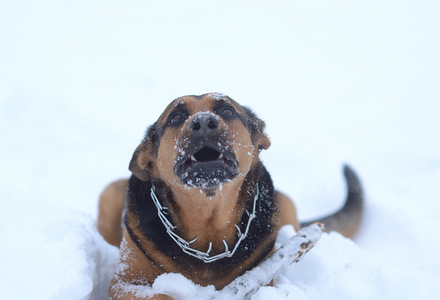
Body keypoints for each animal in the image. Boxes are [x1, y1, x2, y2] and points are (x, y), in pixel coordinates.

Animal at [98, 92, 362, 298]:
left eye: (226, 110)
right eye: (176, 117)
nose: (203, 122)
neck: (208, 223)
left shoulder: (264, 275)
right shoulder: (125, 281)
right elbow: (161, 294)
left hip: (287, 202)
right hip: (109, 195)